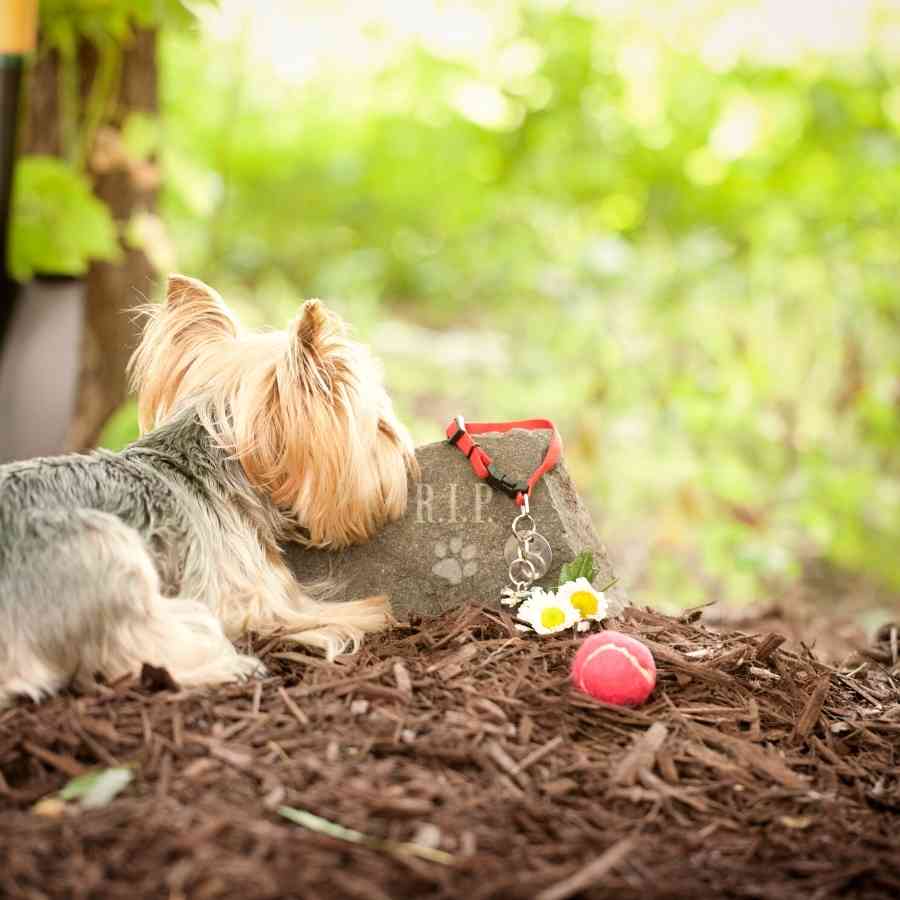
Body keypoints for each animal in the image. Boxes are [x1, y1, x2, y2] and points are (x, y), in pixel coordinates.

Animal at [0, 274, 414, 704]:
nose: (406, 457)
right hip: (107, 552)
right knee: (136, 651)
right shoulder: (253, 596)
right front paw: (369, 613)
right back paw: (230, 666)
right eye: (381, 428)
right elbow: (313, 611)